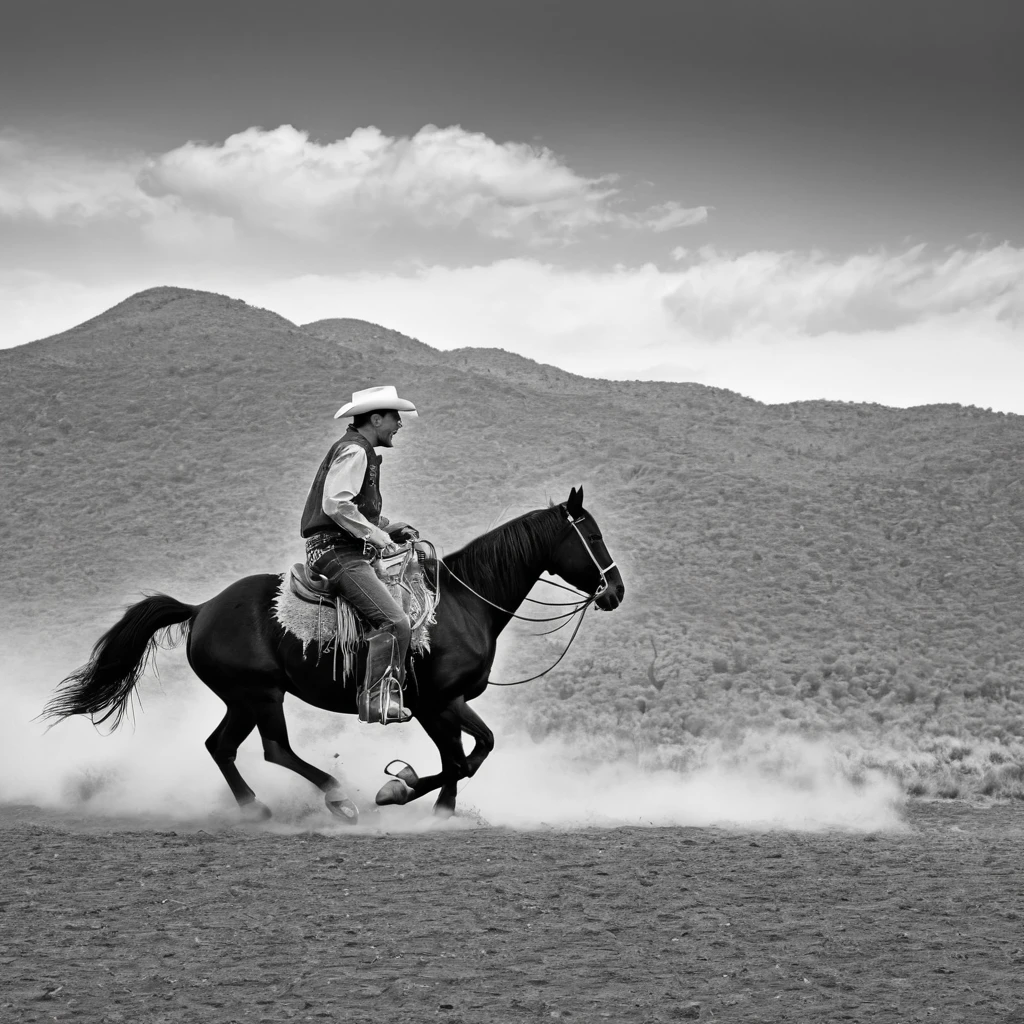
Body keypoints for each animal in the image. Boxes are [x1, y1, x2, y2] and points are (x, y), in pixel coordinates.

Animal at [44, 487, 622, 823]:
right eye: (591, 535)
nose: (614, 591)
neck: (462, 604)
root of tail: (203, 608)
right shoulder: (440, 701)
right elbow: (470, 754)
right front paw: (397, 790)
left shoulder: (440, 707)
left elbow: (462, 758)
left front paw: (438, 810)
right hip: (261, 693)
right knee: (274, 749)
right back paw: (337, 796)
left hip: (240, 698)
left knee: (220, 746)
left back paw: (255, 808)